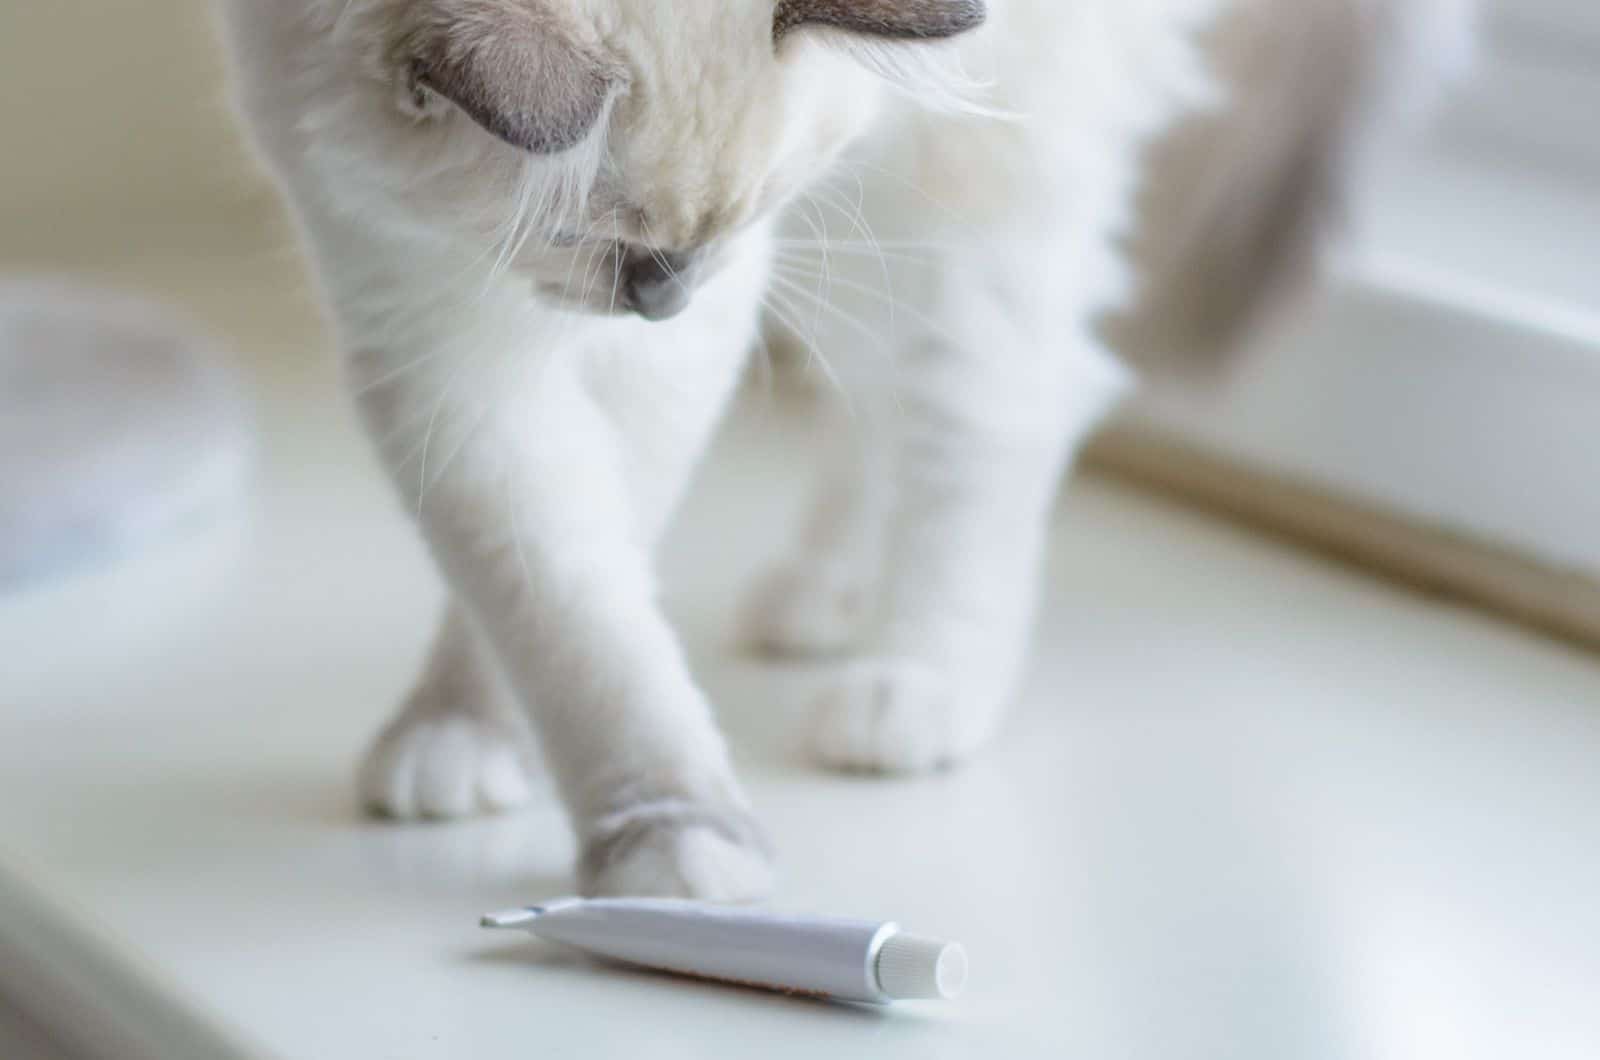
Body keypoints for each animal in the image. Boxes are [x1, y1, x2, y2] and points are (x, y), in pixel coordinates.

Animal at [222, 0, 1472, 903]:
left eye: (723, 224)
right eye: (591, 239)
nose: (667, 296)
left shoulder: (691, 325)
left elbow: (583, 614)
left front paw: (667, 842)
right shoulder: (418, 325)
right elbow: (531, 581)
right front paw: (460, 735)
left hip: (956, 178)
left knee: (1007, 405)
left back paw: (910, 692)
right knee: (891, 404)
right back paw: (821, 595)